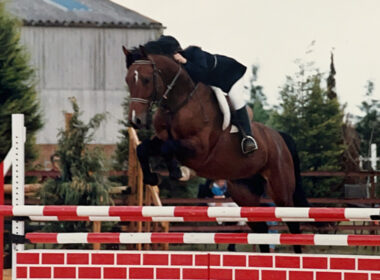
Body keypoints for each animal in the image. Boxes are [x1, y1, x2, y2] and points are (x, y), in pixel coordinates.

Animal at [123, 46, 310, 254]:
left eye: (146, 79)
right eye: (128, 79)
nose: (135, 120)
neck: (178, 104)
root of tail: (279, 137)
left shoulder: (200, 149)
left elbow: (168, 147)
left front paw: (179, 171)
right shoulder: (162, 138)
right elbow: (143, 148)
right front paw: (153, 177)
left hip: (280, 188)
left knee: (293, 223)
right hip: (244, 192)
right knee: (261, 228)